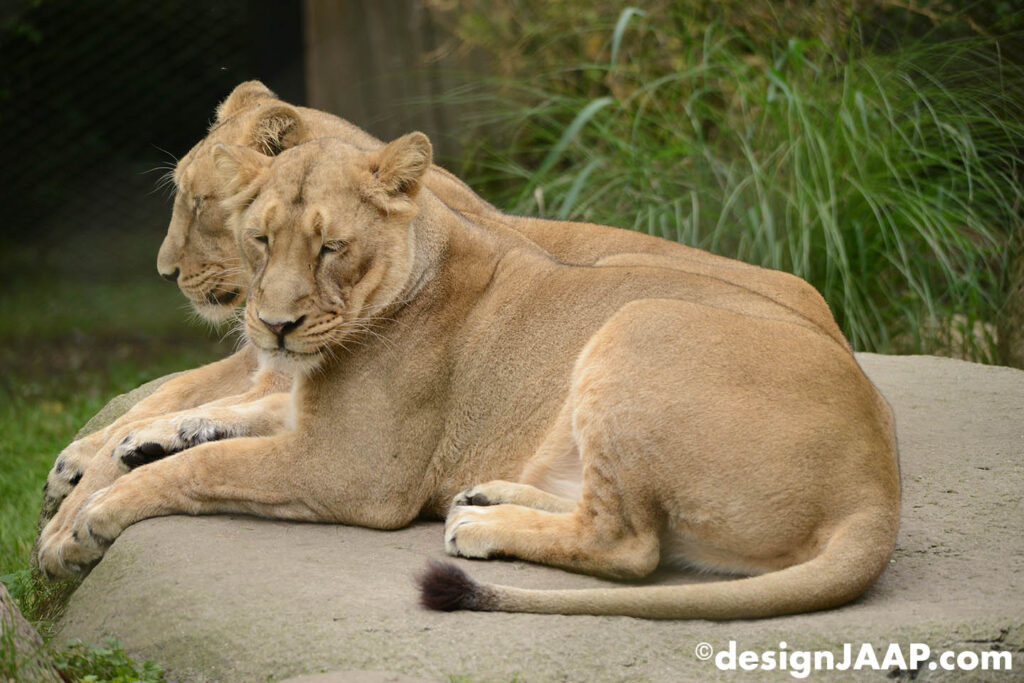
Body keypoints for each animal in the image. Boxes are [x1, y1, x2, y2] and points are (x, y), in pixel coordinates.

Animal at [37, 134, 900, 622]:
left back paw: (479, 527)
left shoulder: (353, 470)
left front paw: (91, 519)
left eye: (330, 247)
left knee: (630, 546)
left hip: (640, 318)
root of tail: (878, 491)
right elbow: (218, 419)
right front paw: (132, 448)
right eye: (260, 239)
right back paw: (489, 497)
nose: (273, 325)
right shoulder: (309, 416)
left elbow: (208, 462)